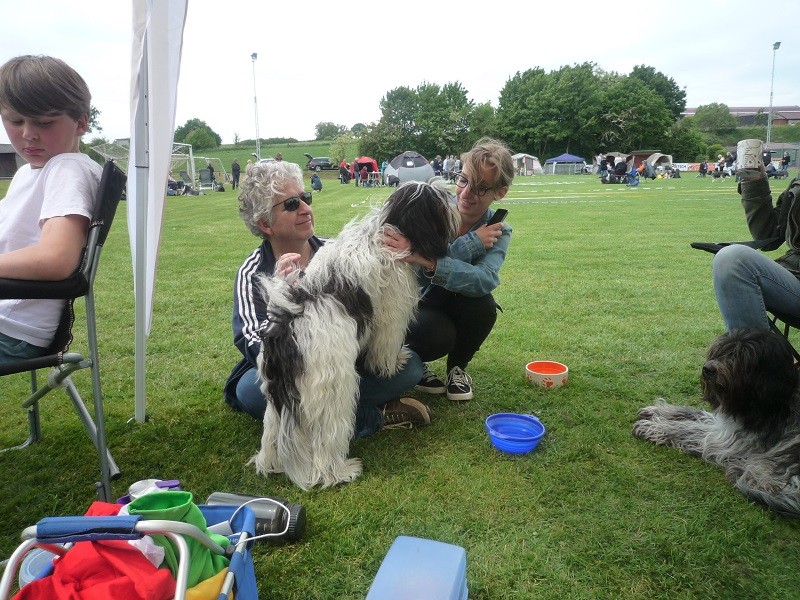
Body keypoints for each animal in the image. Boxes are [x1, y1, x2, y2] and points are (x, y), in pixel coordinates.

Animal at [253, 180, 460, 490]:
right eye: (440, 200)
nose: (458, 208)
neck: (386, 228)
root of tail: (288, 324)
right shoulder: (392, 307)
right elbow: (387, 339)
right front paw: (393, 362)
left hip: (278, 393)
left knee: (273, 431)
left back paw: (271, 463)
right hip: (332, 387)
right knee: (326, 438)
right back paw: (336, 472)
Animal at [632, 328, 800, 516]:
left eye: (741, 355)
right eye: (720, 351)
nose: (708, 369)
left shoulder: (733, 440)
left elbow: (691, 430)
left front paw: (654, 427)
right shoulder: (726, 423)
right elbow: (697, 415)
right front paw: (658, 411)